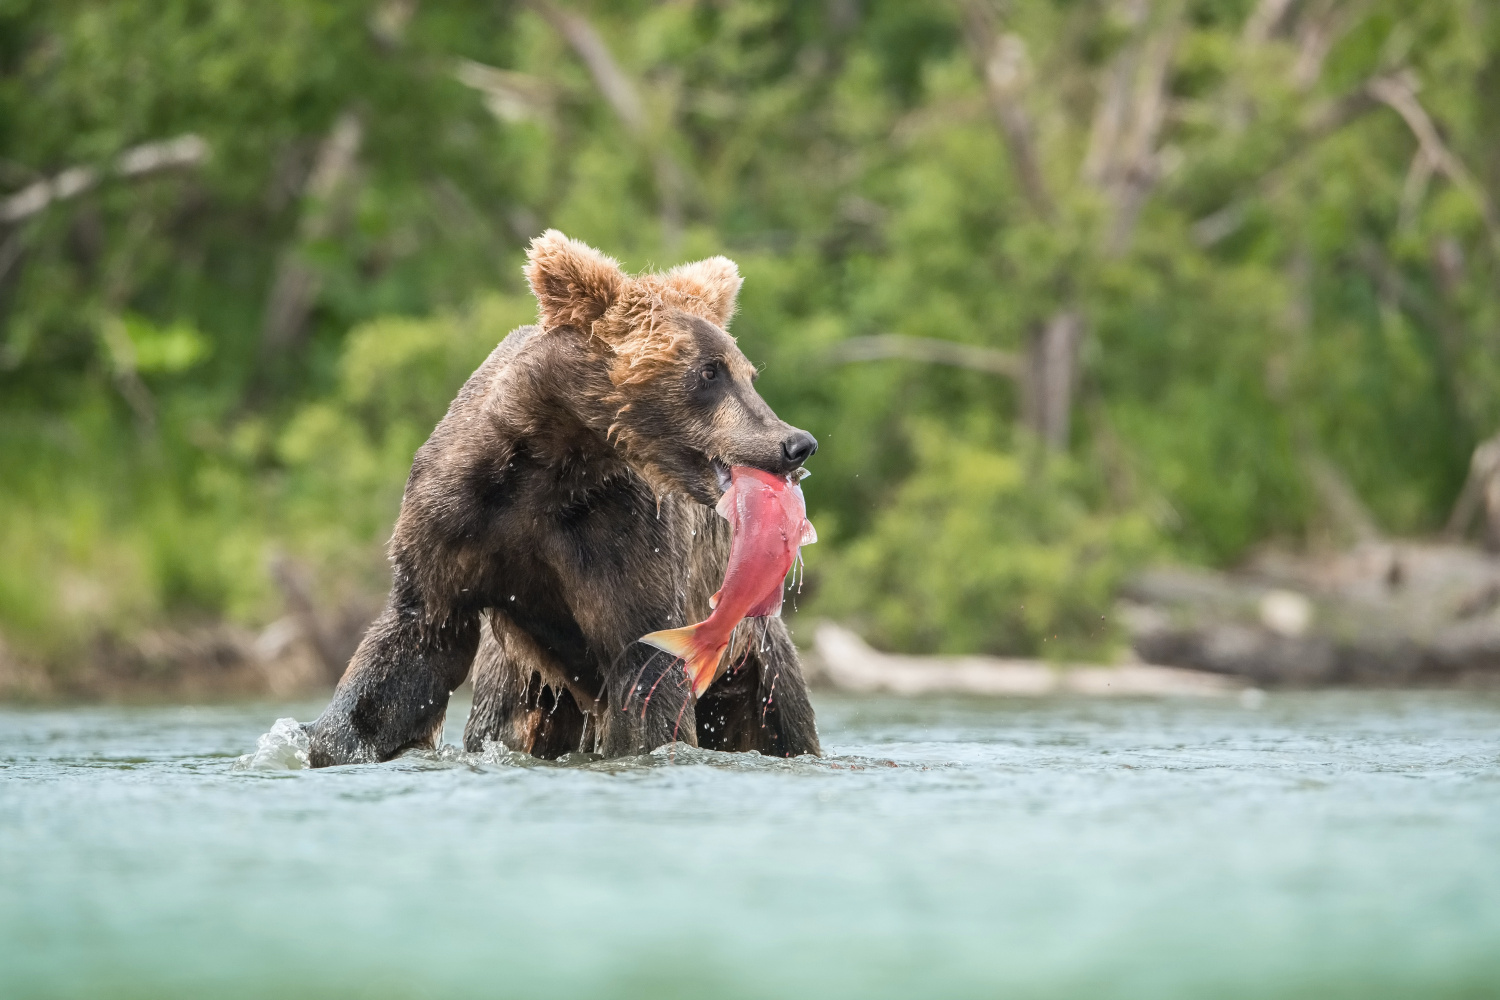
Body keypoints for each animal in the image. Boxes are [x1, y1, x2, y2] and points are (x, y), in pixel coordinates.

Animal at [304, 232, 822, 767]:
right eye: (709, 372)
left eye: (746, 373)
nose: (796, 442)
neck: (553, 460)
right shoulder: (456, 520)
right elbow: (414, 644)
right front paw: (340, 740)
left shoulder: (621, 533)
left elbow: (644, 667)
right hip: (522, 677)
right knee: (500, 718)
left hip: (756, 661)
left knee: (782, 722)